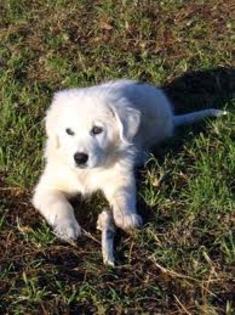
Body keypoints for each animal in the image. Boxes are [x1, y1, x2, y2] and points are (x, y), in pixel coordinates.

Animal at [32, 80, 225, 241]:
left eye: (97, 130)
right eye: (69, 132)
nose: (79, 158)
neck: (88, 172)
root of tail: (171, 118)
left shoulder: (119, 177)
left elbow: (123, 195)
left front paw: (126, 216)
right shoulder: (47, 188)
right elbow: (60, 205)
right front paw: (67, 228)